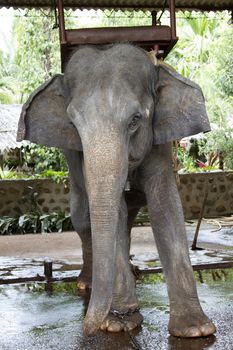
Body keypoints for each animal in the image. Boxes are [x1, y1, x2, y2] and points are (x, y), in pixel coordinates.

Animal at [17, 42, 216, 338]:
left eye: (135, 120)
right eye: (73, 125)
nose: (88, 329)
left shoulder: (159, 143)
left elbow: (166, 206)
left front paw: (195, 329)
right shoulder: (81, 156)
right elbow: (115, 211)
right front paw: (119, 321)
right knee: (82, 218)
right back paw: (87, 285)